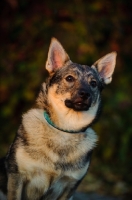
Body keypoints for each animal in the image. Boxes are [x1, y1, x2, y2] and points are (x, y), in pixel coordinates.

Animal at [0, 38, 116, 200]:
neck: (65, 130)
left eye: (93, 83)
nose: (85, 94)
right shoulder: (16, 177)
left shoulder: (70, 187)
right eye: (69, 78)